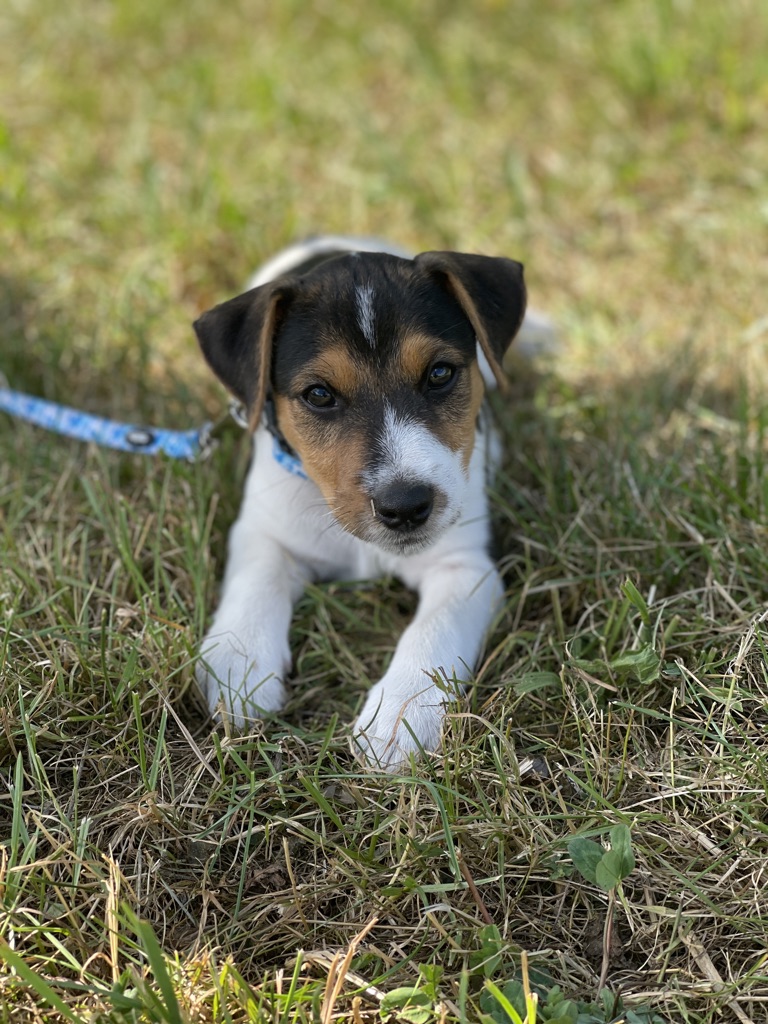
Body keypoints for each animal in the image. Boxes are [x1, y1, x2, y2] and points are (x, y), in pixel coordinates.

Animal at [194, 235, 535, 770]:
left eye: (440, 373)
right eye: (318, 394)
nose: (406, 505)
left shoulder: (465, 569)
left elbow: (434, 630)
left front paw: (401, 716)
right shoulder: (265, 529)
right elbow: (256, 582)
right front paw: (240, 664)